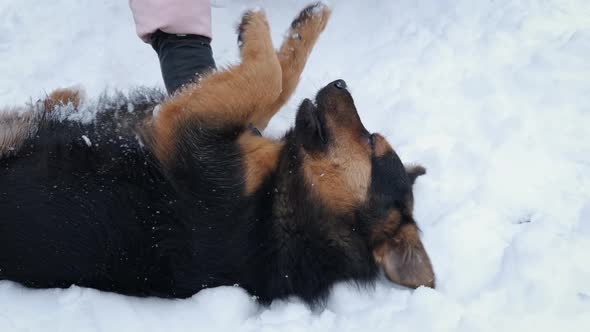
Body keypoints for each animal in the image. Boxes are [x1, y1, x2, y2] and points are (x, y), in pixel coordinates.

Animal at [0, 3, 434, 306]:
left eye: (372, 141)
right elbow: (280, 78)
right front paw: (305, 24)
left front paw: (255, 24)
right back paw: (61, 99)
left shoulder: (185, 127)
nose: (340, 82)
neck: (289, 202)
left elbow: (266, 77)